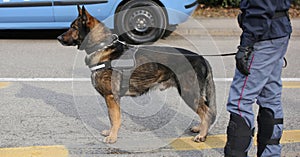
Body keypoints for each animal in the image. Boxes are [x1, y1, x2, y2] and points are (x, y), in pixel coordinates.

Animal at [56, 5, 216, 144]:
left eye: (73, 27)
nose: (58, 38)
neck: (101, 46)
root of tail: (202, 58)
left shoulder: (111, 97)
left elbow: (115, 118)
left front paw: (112, 137)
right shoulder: (111, 99)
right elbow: (111, 118)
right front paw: (110, 132)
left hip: (189, 93)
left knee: (207, 112)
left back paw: (202, 135)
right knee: (205, 111)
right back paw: (200, 128)